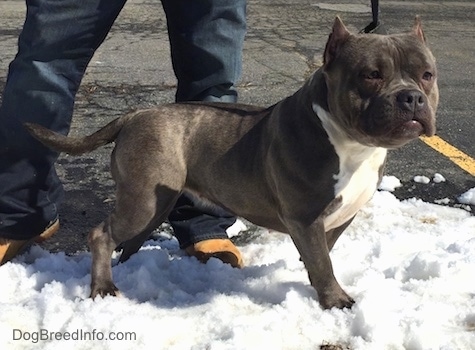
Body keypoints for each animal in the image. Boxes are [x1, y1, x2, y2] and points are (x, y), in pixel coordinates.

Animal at [26, 17, 438, 308]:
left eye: (427, 74)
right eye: (372, 75)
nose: (411, 97)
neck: (351, 143)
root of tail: (135, 114)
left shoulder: (338, 217)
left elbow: (323, 254)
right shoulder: (305, 218)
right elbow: (323, 262)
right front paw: (336, 301)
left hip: (154, 205)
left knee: (124, 241)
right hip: (143, 202)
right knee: (101, 235)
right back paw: (103, 287)